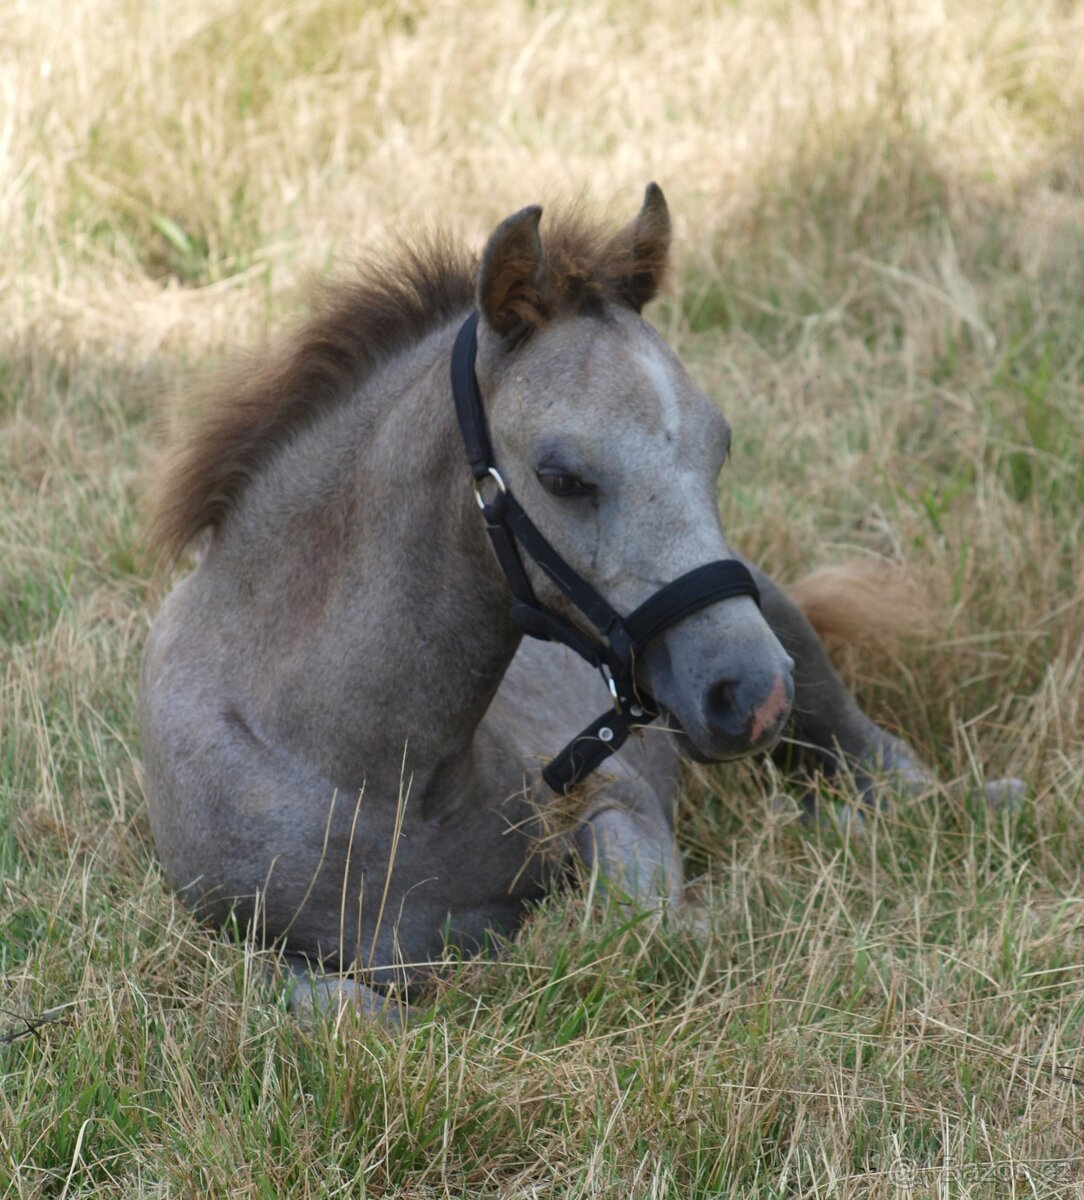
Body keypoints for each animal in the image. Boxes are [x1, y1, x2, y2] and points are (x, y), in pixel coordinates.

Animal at [140, 185, 960, 1021]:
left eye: (719, 447)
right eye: (562, 477)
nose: (751, 696)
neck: (364, 783)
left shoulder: (617, 799)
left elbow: (641, 933)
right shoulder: (230, 941)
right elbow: (356, 1012)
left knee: (891, 767)